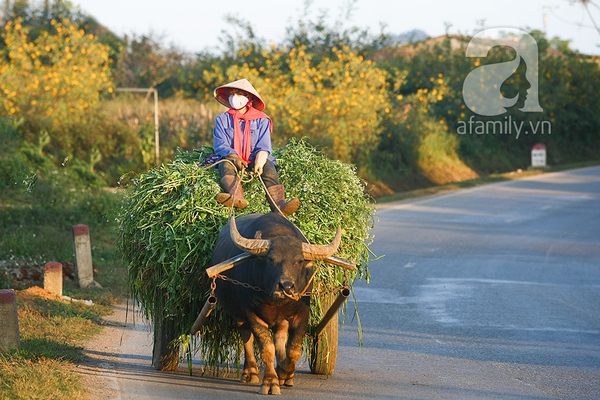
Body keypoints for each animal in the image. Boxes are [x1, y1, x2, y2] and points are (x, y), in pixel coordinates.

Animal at [209, 212, 352, 394]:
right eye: (271, 259)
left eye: (299, 261)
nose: (286, 286)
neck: (274, 300)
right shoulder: (252, 314)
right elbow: (267, 349)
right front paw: (271, 382)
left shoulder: (302, 313)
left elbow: (293, 349)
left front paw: (285, 374)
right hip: (237, 314)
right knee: (247, 337)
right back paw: (250, 372)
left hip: (281, 319)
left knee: (280, 338)